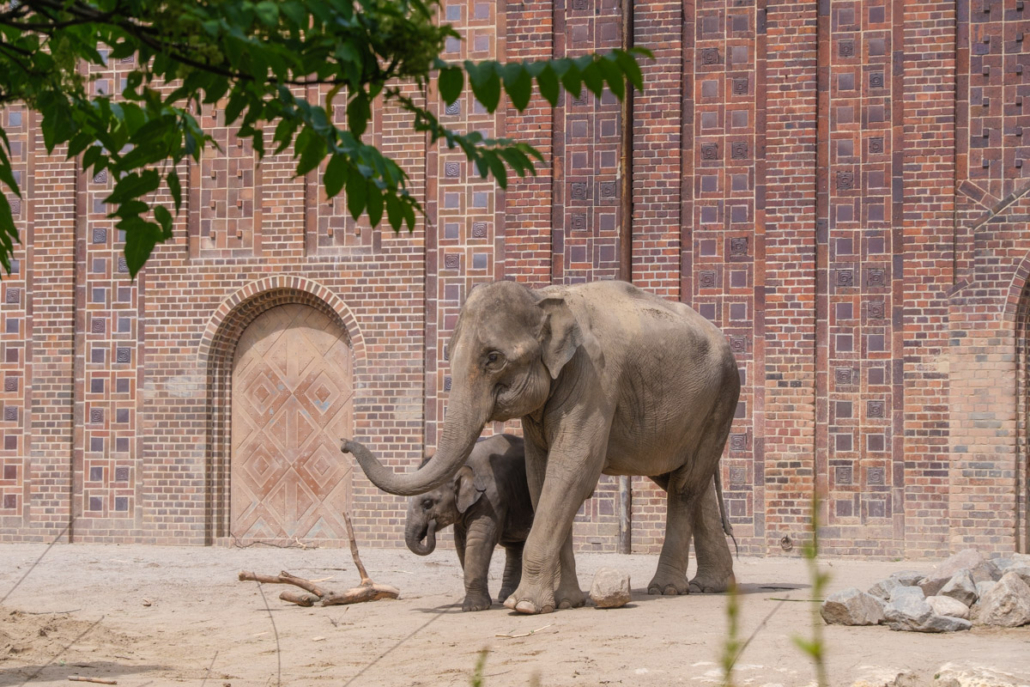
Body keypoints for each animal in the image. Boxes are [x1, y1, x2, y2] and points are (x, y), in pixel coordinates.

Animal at [405, 434, 531, 613]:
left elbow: (479, 540)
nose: (431, 525)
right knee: (514, 545)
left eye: (428, 503)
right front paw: (478, 604)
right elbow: (461, 543)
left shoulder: (492, 498)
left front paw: (473, 607)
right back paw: (506, 598)